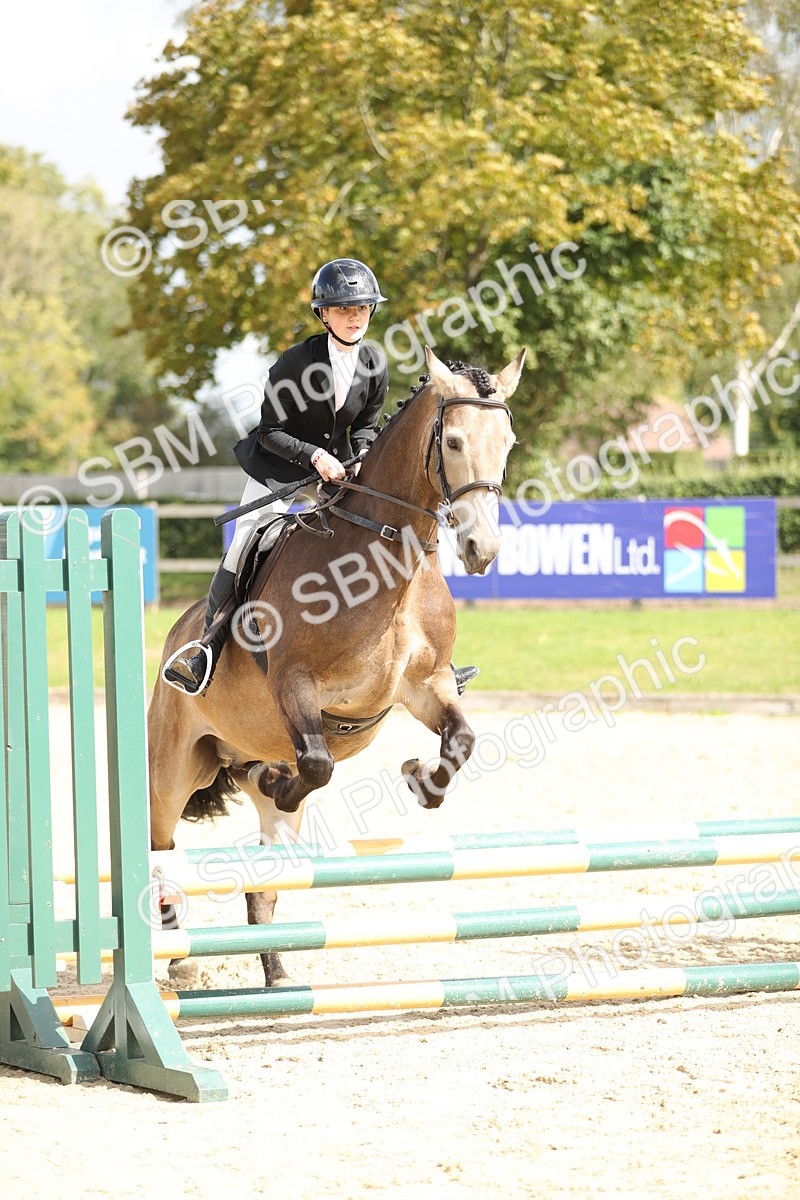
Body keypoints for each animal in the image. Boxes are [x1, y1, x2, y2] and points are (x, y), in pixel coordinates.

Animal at [148, 346, 526, 984]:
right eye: (451, 441)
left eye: (508, 441)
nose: (483, 551)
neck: (387, 560)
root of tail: (178, 634)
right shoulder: (296, 685)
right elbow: (319, 763)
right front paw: (289, 780)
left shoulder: (424, 687)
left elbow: (461, 742)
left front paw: (421, 780)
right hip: (172, 770)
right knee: (160, 852)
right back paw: (178, 963)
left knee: (263, 880)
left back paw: (276, 971)